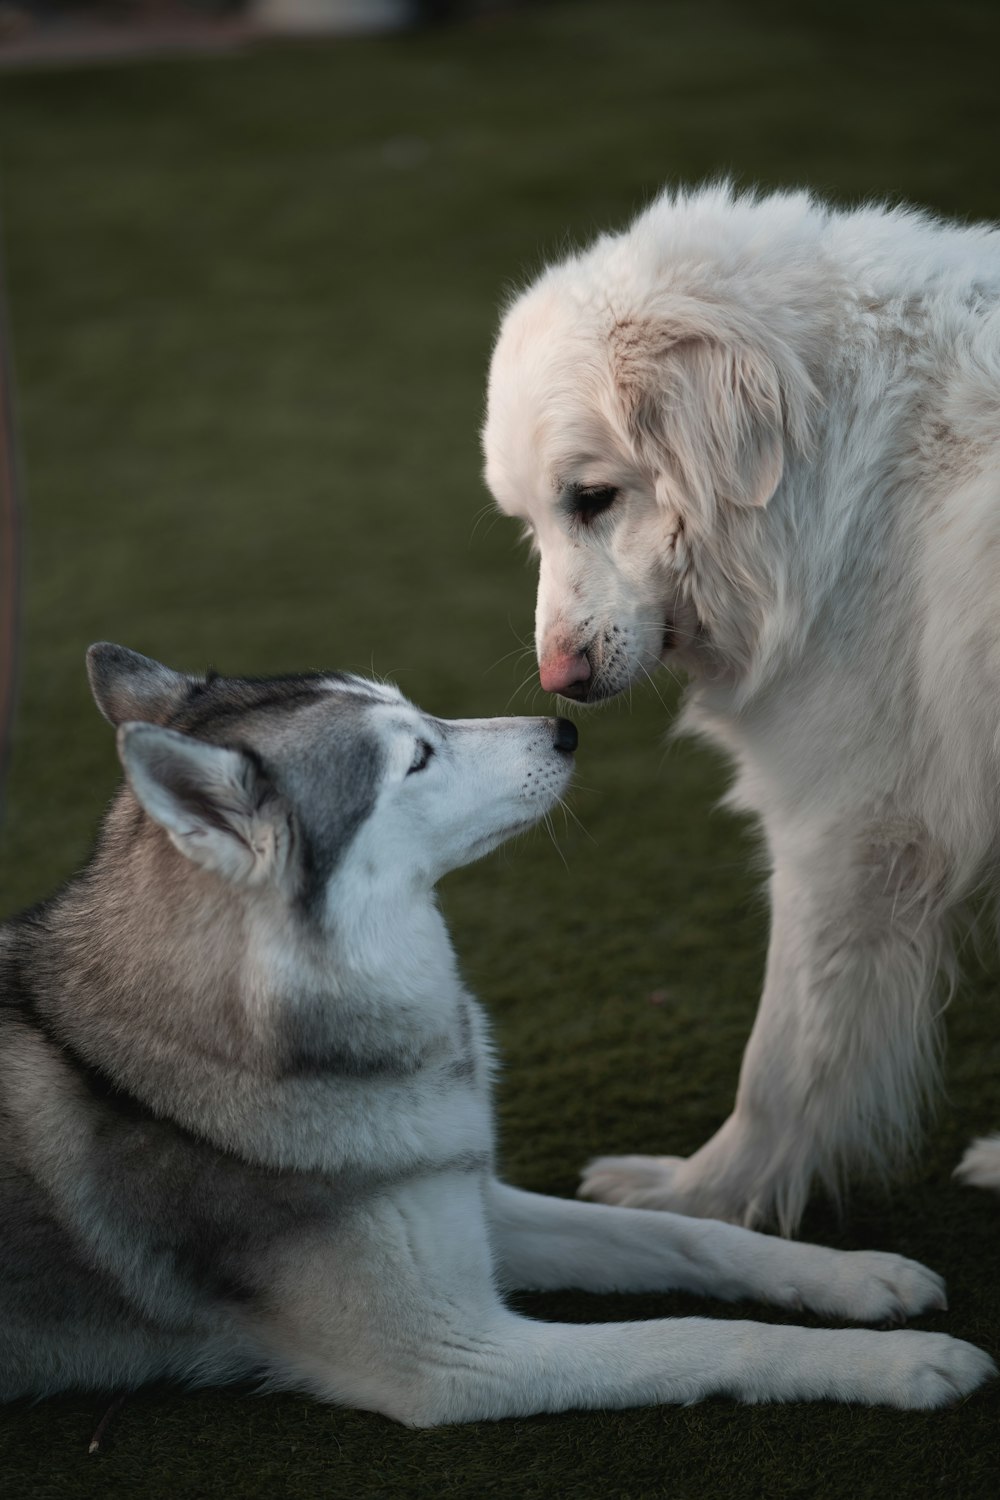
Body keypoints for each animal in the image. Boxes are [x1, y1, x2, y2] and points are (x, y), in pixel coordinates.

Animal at [482, 184, 1000, 1230]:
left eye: (591, 499)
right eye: (529, 525)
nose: (558, 684)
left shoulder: (844, 833)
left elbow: (782, 1063)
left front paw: (702, 1200)